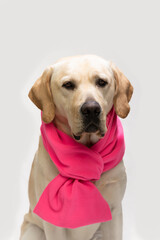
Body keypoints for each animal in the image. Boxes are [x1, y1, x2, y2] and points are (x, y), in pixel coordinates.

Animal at [19, 54, 132, 240]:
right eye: (68, 85)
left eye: (101, 82)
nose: (92, 109)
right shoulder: (53, 223)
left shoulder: (115, 211)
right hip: (33, 230)